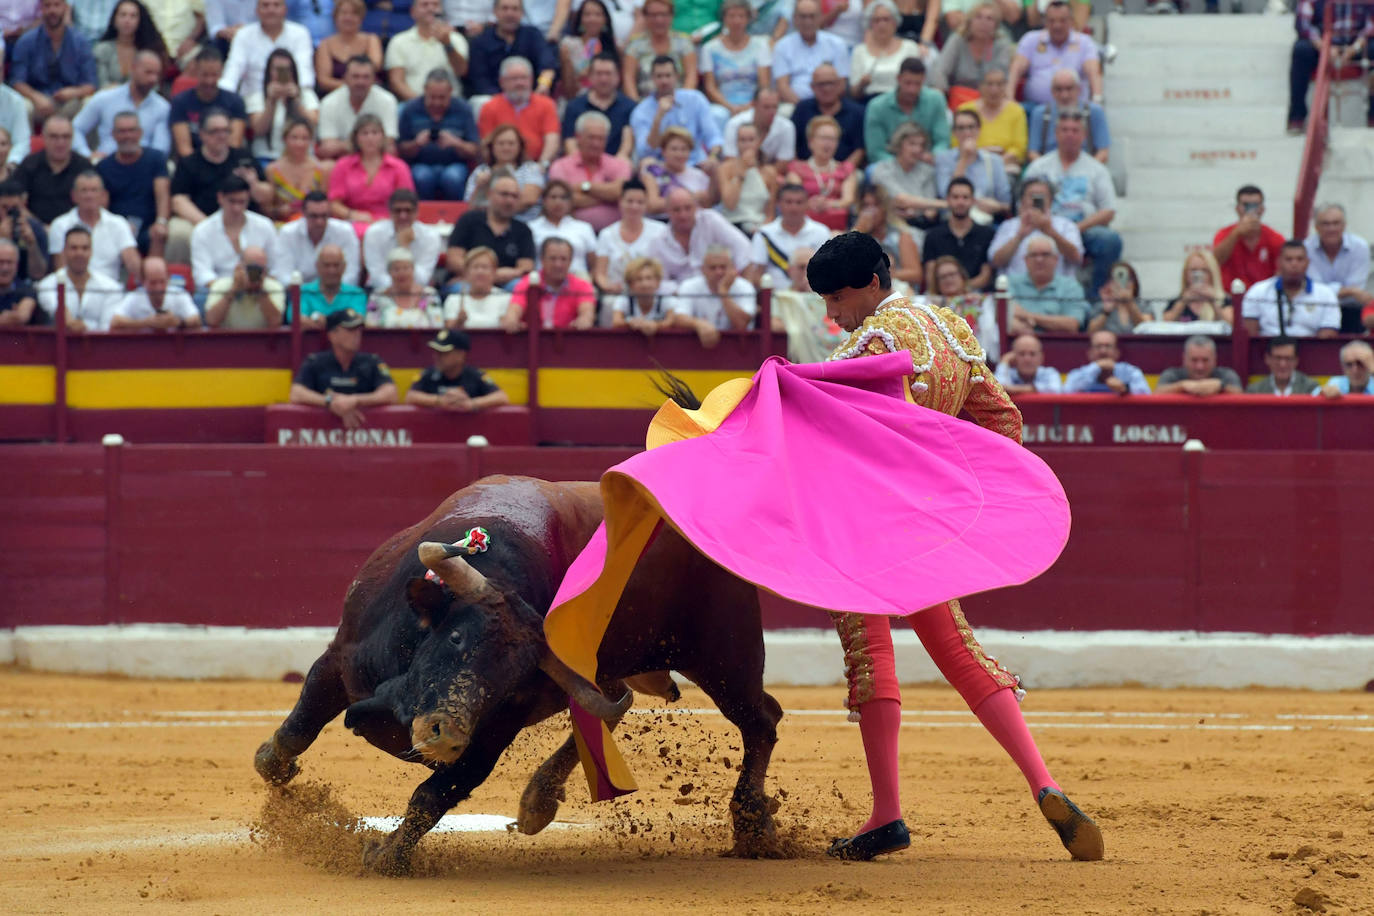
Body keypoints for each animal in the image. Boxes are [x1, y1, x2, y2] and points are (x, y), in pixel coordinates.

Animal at [251, 477, 780, 878]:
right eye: (456, 638)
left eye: (511, 681)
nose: (446, 735)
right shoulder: (338, 658)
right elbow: (298, 729)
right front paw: (278, 770)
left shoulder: (492, 735)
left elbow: (433, 795)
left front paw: (385, 855)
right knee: (616, 702)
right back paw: (538, 802)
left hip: (725, 661)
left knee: (761, 720)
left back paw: (753, 827)